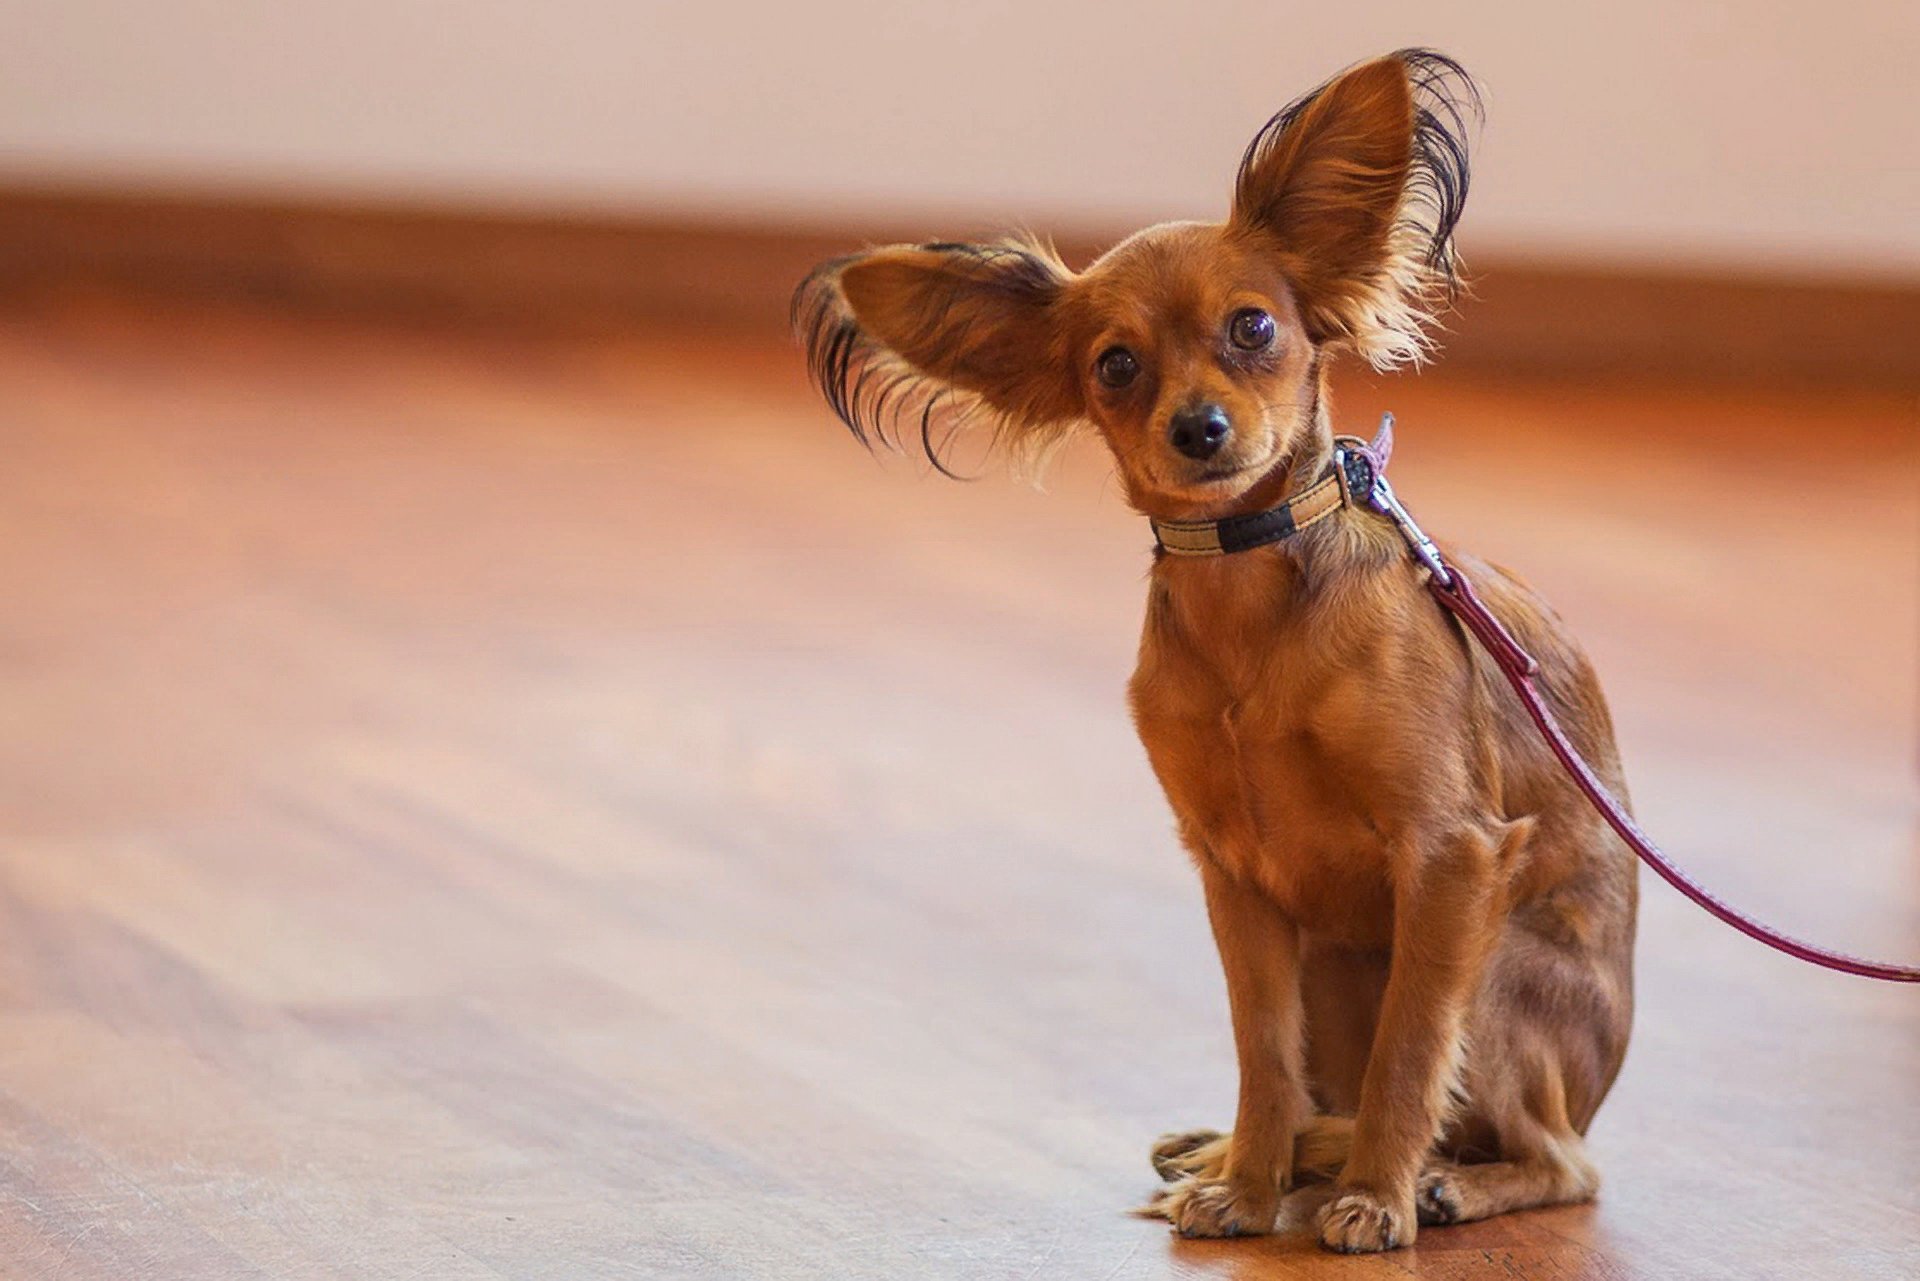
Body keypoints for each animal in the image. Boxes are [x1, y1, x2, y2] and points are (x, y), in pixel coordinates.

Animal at [794, 47, 1635, 1252]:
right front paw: (1246, 1181)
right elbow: (1261, 1051)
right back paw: (1260, 1155)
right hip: (1335, 959)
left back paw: (1439, 1183)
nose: (1199, 430)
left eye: (1254, 328)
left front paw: (1376, 1200)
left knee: (1560, 1160)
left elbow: (1411, 1053)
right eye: (1114, 365)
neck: (1252, 597)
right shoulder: (1235, 876)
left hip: (1501, 970)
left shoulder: (1450, 858)